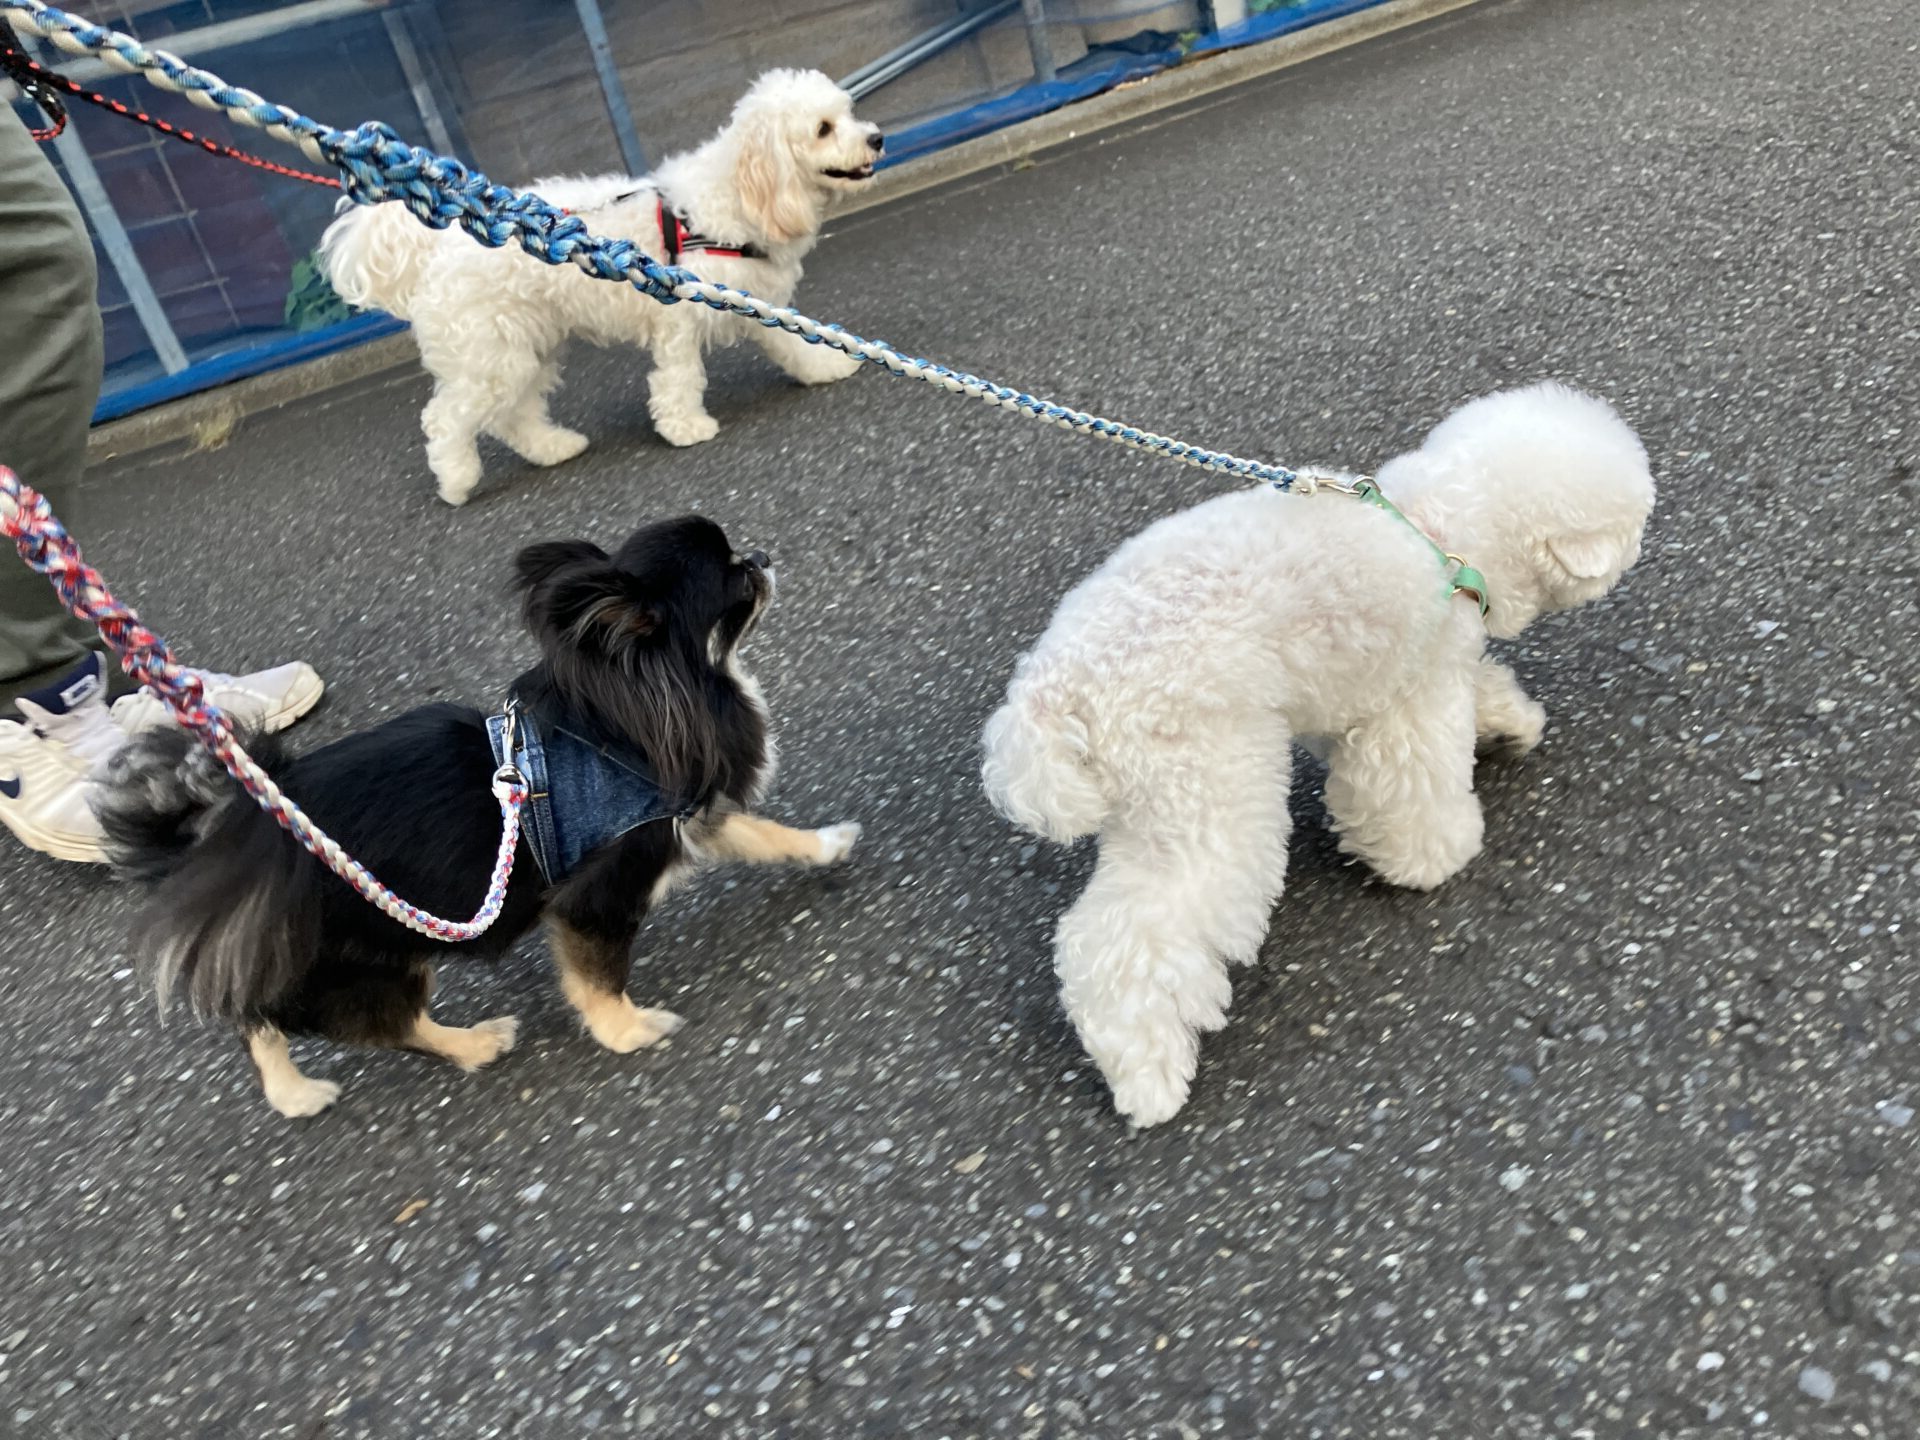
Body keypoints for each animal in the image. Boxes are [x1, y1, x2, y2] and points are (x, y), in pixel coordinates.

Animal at [95, 517, 860, 1119]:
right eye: (733, 579)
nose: (761, 555)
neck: (629, 718)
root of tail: (235, 844)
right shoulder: (598, 894)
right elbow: (598, 978)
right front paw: (629, 1031)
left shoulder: (686, 817)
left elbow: (767, 835)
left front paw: (826, 845)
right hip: (375, 954)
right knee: (369, 1022)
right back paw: (470, 1043)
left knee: (261, 1019)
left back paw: (292, 1093)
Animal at [319, 70, 883, 505]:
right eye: (823, 129)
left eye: (848, 113)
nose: (877, 138)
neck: (737, 197)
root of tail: (439, 247)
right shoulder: (679, 316)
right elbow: (679, 378)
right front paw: (685, 428)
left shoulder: (750, 299)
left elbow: (792, 343)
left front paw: (825, 368)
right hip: (490, 354)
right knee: (446, 418)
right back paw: (457, 482)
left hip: (524, 347)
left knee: (514, 416)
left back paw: (553, 448)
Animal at [981, 383, 1656, 1128]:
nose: (1643, 545)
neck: (1443, 525)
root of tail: (1049, 696)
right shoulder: (1409, 697)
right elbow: (1409, 788)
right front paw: (1434, 856)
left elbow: (1479, 691)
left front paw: (1513, 724)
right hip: (1206, 794)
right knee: (1128, 943)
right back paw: (1148, 1076)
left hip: (1155, 808)